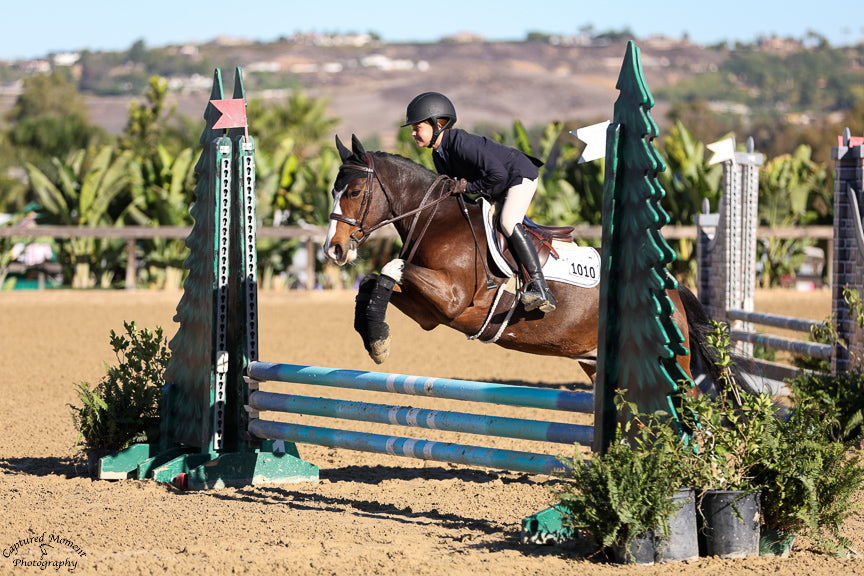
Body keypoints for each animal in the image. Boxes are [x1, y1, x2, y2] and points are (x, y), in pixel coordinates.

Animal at [324, 134, 723, 387]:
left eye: (355, 192)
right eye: (332, 190)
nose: (334, 249)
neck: (434, 218)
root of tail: (673, 290)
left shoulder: (452, 298)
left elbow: (390, 267)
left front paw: (377, 342)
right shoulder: (430, 313)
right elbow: (373, 282)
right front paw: (375, 340)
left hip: (670, 364)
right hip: (596, 362)